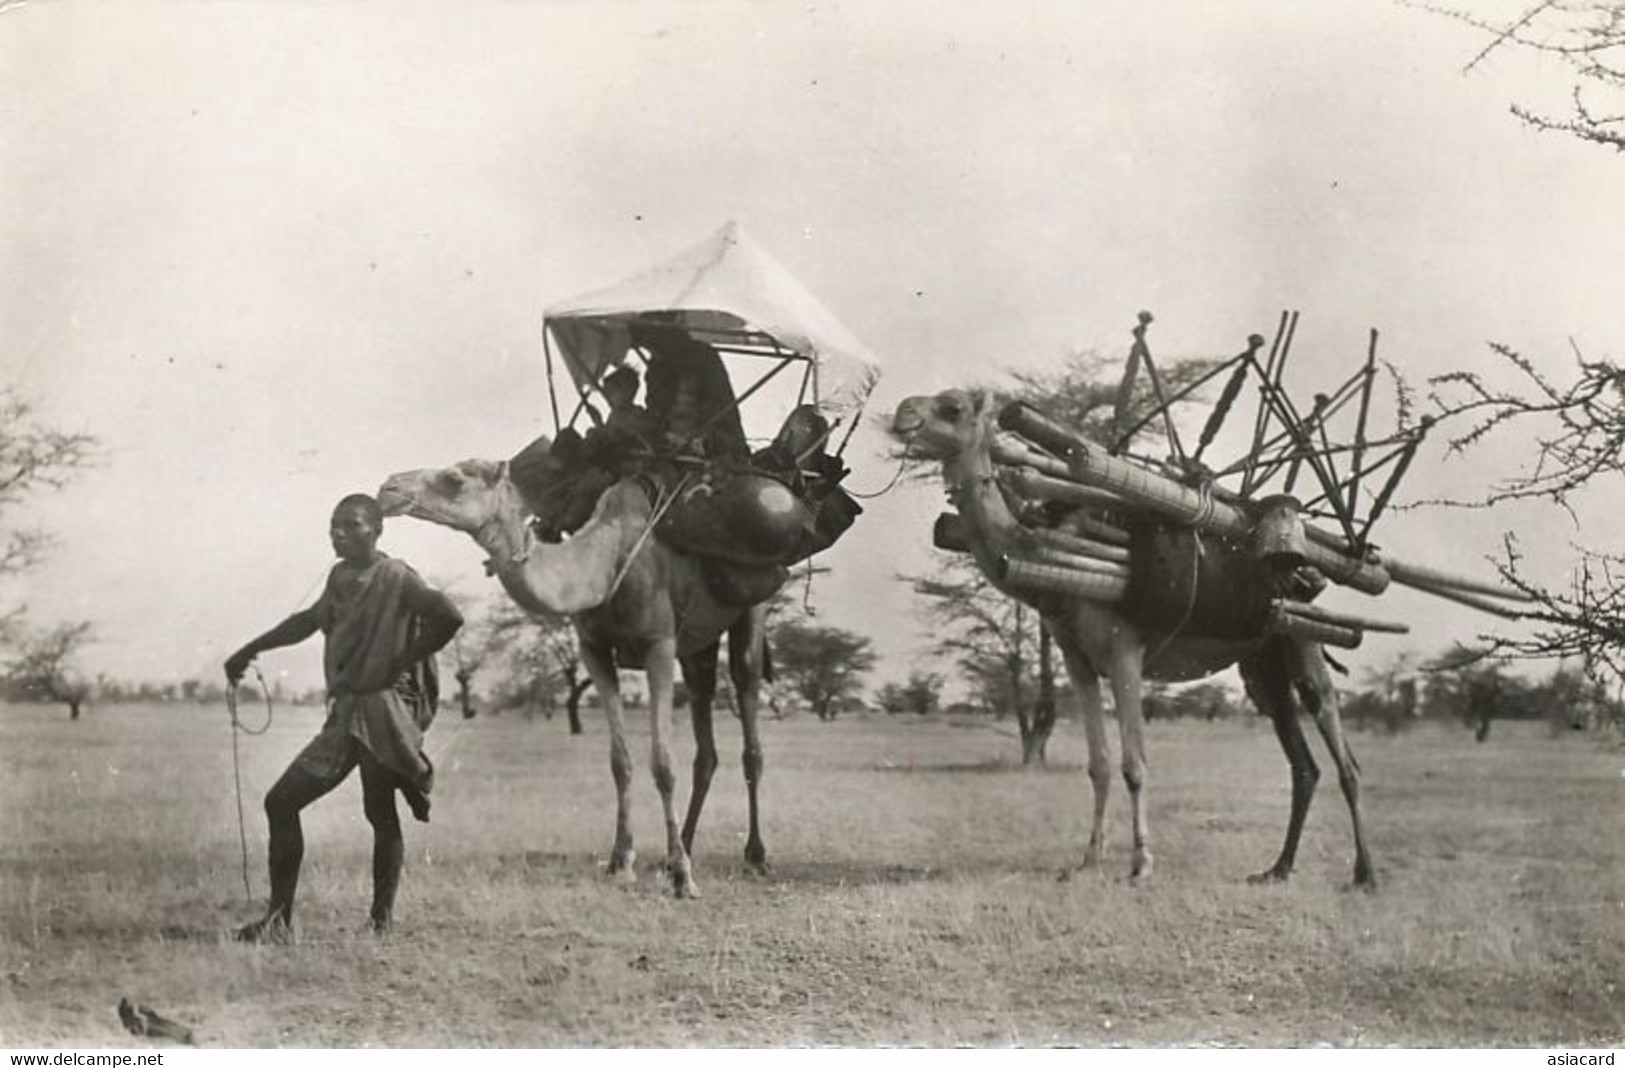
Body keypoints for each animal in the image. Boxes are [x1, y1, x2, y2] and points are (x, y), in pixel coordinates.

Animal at [377, 445, 770, 897]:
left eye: (454, 479)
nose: (388, 488)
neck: (604, 561)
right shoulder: (593, 649)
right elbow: (620, 761)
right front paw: (622, 862)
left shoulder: (659, 642)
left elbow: (662, 763)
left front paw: (684, 879)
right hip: (697, 644)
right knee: (704, 728)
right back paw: (678, 850)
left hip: (752, 608)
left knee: (748, 707)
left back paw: (754, 856)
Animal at [890, 386, 1371, 884]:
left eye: (952, 407)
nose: (902, 413)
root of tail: (1306, 572)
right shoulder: (1076, 661)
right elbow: (1099, 765)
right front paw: (1088, 861)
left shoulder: (1125, 652)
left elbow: (1134, 764)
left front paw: (1141, 863)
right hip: (1262, 658)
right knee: (1303, 762)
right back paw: (1278, 868)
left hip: (1302, 637)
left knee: (1342, 749)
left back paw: (1364, 874)